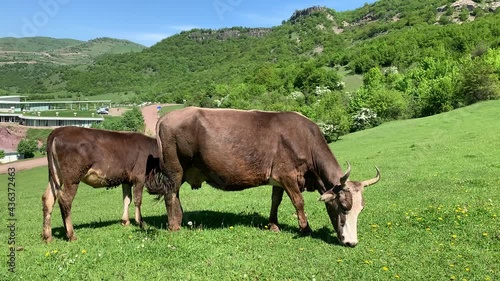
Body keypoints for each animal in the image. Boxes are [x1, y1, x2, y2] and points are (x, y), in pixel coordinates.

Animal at [156, 106, 378, 246]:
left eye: (361, 209)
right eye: (343, 206)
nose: (352, 242)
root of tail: (166, 117)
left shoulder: (278, 179)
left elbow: (275, 201)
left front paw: (273, 225)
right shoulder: (287, 174)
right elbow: (298, 201)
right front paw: (305, 228)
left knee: (175, 196)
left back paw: (180, 219)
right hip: (174, 169)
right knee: (170, 195)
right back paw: (174, 226)